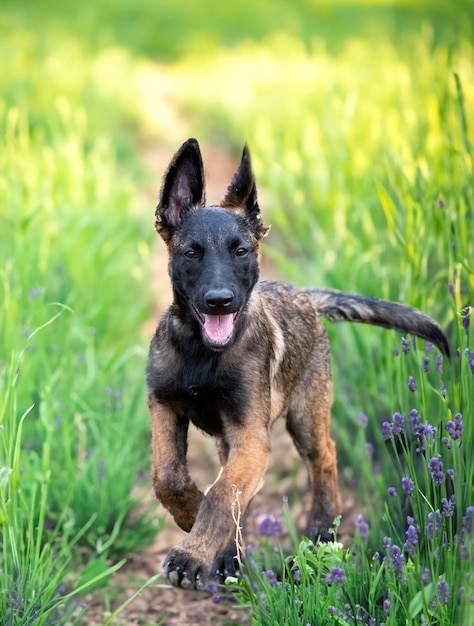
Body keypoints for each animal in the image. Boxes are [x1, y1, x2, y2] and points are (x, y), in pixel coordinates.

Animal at [146, 138, 450, 588]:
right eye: (191, 253)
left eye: (241, 251)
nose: (220, 301)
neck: (202, 353)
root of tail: (304, 295)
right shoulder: (166, 406)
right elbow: (169, 476)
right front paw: (194, 520)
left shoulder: (252, 434)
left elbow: (222, 494)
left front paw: (192, 552)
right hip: (232, 437)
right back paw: (233, 552)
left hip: (305, 416)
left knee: (324, 455)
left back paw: (323, 529)